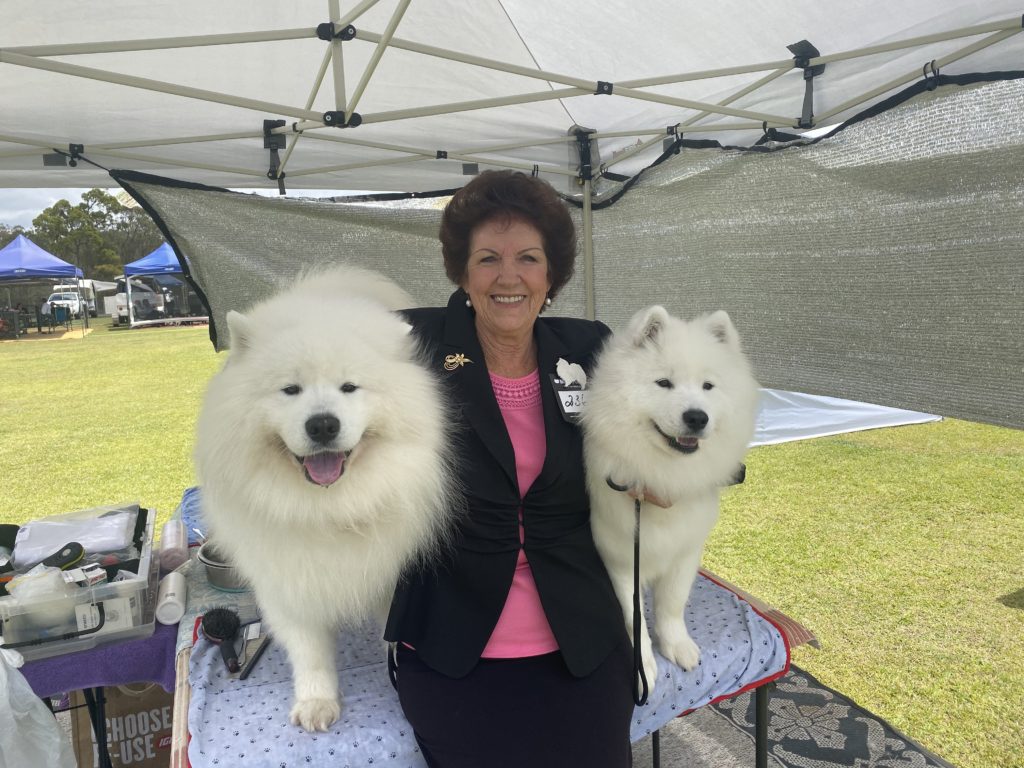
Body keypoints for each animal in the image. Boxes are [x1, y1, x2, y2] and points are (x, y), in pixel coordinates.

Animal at [197, 266, 454, 733]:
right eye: (290, 389)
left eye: (349, 387)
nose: (322, 425)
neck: (328, 507)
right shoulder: (289, 577)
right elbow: (309, 650)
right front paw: (317, 703)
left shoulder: (391, 575)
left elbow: (392, 634)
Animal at [585, 307, 761, 692]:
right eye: (663, 383)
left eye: (708, 386)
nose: (696, 417)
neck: (663, 473)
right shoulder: (620, 559)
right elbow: (634, 619)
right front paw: (644, 669)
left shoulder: (684, 553)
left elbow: (672, 605)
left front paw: (677, 646)